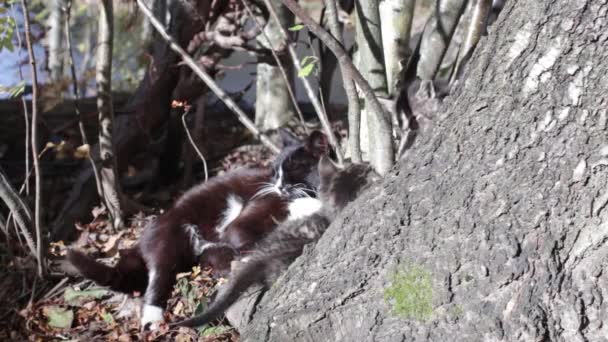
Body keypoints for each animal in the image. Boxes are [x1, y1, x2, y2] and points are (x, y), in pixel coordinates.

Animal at [66, 127, 328, 328]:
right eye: (275, 171)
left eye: (294, 168)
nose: (278, 185)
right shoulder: (244, 220)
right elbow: (247, 236)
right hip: (171, 236)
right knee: (159, 274)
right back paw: (152, 318)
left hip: (202, 249)